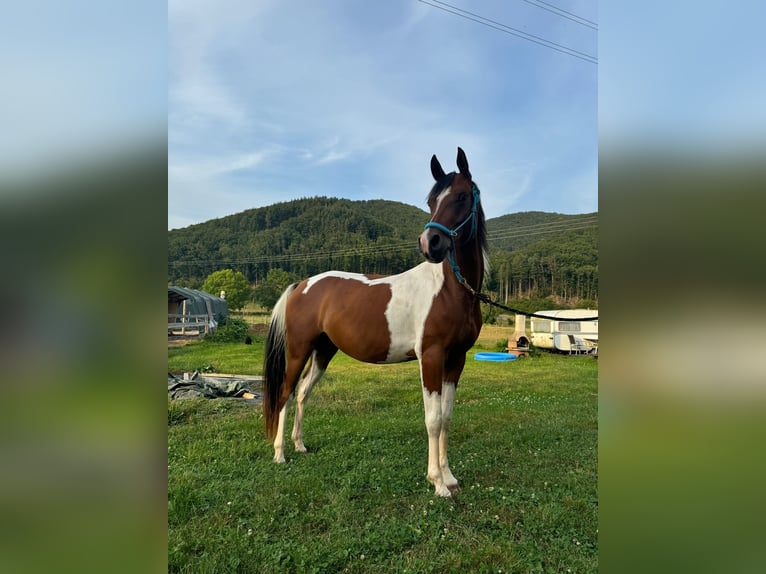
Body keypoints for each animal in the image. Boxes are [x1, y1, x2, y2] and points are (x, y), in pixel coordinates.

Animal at [264, 148, 488, 500]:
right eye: (431, 201)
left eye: (463, 196)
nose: (431, 243)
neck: (450, 290)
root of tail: (302, 285)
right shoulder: (431, 357)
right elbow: (433, 420)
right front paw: (437, 483)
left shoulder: (456, 360)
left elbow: (447, 418)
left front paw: (449, 477)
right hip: (298, 351)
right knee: (285, 393)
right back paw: (280, 454)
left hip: (323, 351)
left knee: (302, 393)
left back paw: (299, 446)